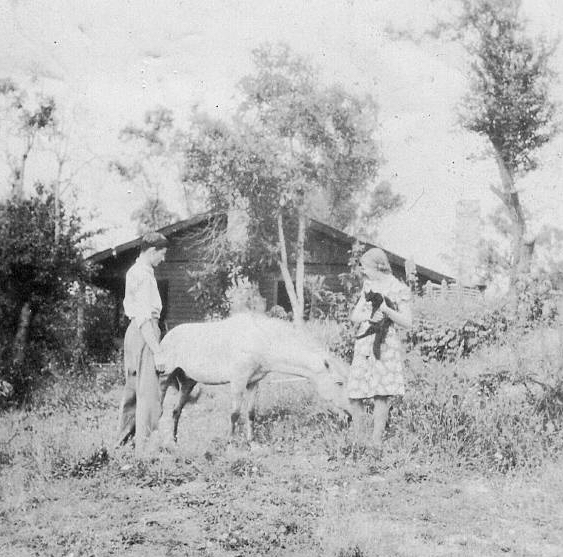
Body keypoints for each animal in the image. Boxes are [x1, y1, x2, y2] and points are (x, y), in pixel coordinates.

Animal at [159, 312, 350, 444]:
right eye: (339, 383)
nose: (349, 416)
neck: (259, 340)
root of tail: (167, 336)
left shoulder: (253, 383)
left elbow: (250, 414)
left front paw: (251, 442)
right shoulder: (238, 382)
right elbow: (234, 414)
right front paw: (230, 443)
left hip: (188, 382)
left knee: (176, 411)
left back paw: (174, 442)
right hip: (164, 379)